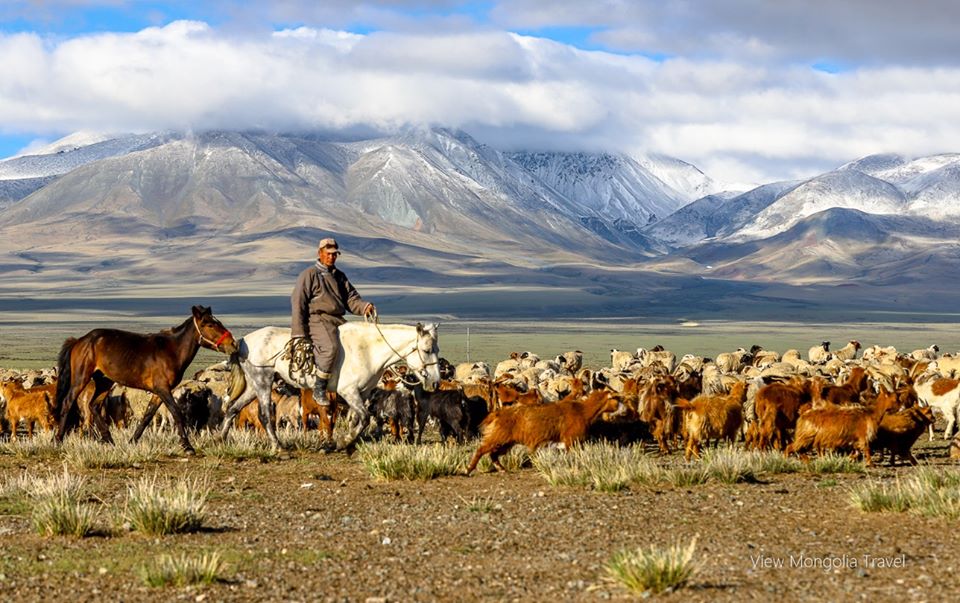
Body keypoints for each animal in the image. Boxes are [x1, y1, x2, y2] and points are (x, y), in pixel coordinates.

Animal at [54, 305, 238, 453]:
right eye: (209, 324)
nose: (233, 344)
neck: (172, 351)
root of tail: (80, 341)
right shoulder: (163, 389)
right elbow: (177, 413)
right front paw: (187, 446)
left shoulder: (158, 392)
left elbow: (148, 415)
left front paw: (132, 441)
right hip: (81, 378)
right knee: (68, 402)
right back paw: (58, 440)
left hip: (104, 381)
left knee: (94, 406)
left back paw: (109, 440)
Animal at [220, 321, 441, 451]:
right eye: (427, 349)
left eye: (437, 349)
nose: (436, 382)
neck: (368, 350)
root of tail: (243, 341)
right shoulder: (349, 391)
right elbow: (364, 418)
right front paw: (344, 442)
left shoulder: (363, 393)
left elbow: (355, 419)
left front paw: (347, 443)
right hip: (263, 381)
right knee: (265, 414)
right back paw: (278, 447)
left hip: (253, 385)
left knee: (233, 407)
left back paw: (221, 438)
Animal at [465, 390, 624, 475]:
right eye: (616, 399)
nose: (622, 408)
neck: (583, 410)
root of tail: (497, 414)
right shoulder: (571, 440)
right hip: (498, 437)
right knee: (481, 450)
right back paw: (468, 469)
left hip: (505, 442)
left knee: (493, 454)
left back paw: (502, 469)